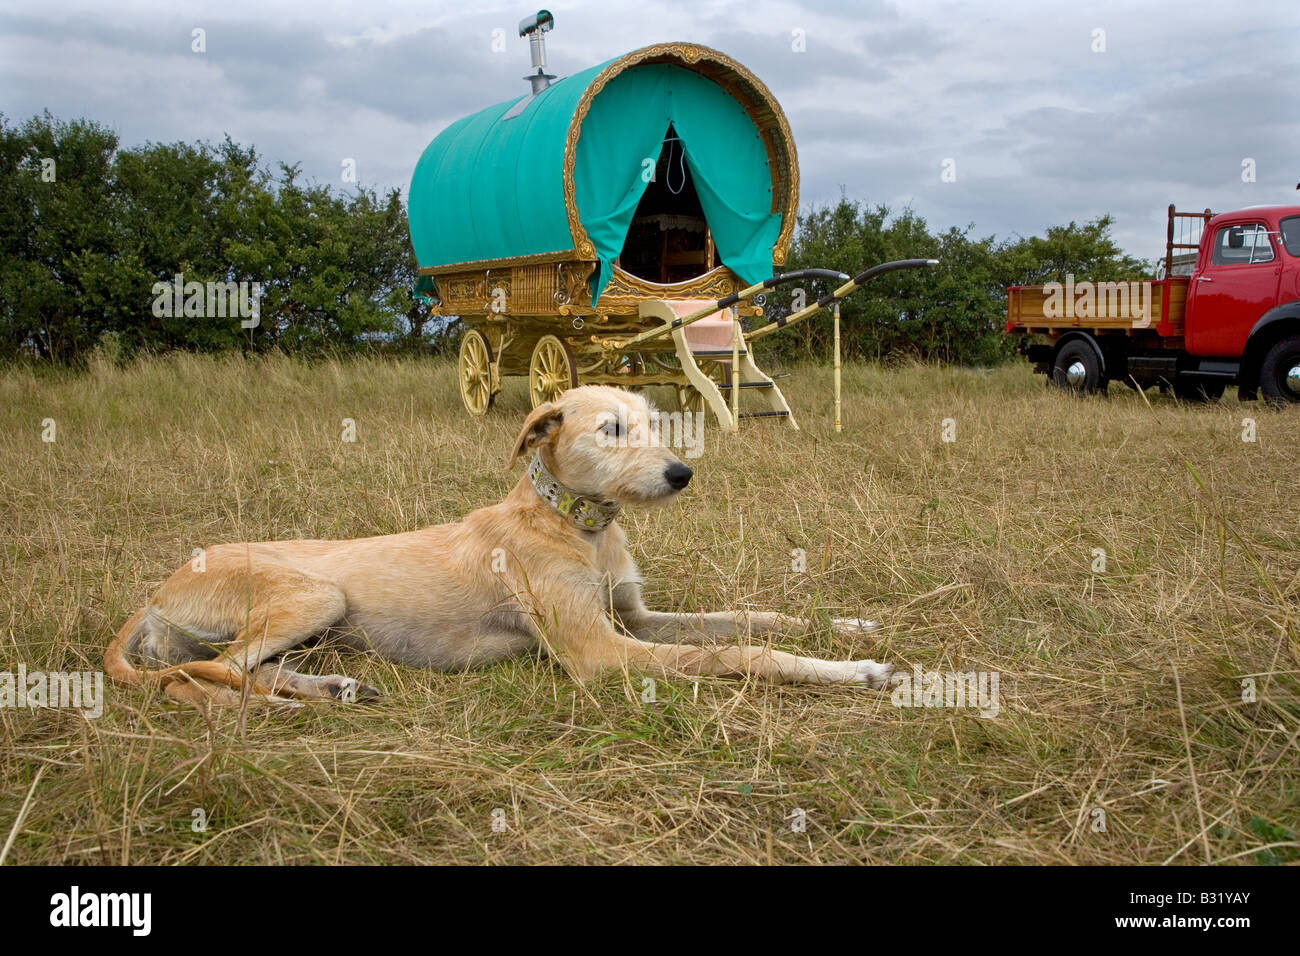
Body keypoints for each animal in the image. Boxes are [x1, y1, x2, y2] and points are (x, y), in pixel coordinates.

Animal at [106, 382, 894, 712]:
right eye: (610, 429)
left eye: (654, 423)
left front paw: (848, 625)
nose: (682, 474)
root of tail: (154, 594)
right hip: (312, 593)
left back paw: (327, 689)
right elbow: (739, 653)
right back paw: (280, 707)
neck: (578, 528)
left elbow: (758, 619)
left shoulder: (634, 619)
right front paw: (852, 671)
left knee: (238, 669)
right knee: (193, 678)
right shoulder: (598, 652)